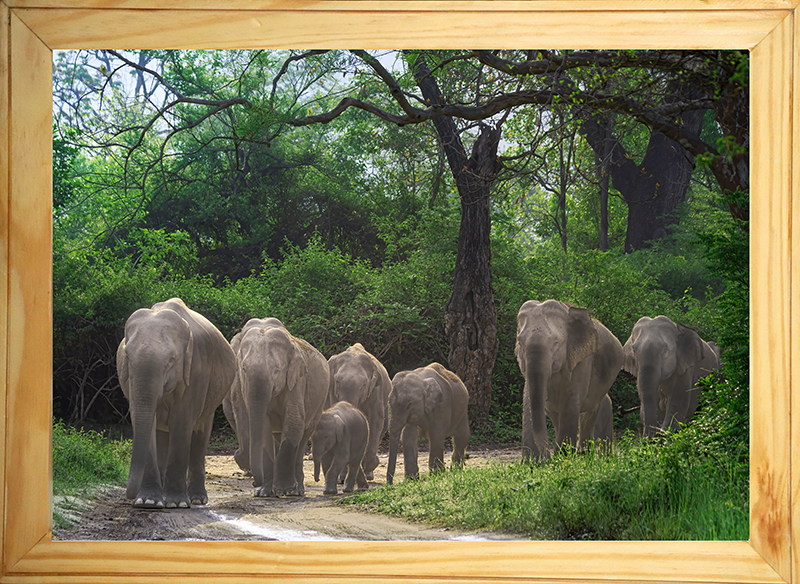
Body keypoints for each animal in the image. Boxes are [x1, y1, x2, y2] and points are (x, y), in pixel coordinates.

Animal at [116, 298, 236, 509]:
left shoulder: (196, 371)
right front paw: (147, 502)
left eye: (171, 361)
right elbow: (148, 424)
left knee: (200, 434)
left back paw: (197, 499)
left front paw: (176, 503)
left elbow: (182, 423)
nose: (129, 496)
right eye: (128, 358)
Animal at [223, 318, 329, 497]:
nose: (254, 483)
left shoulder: (297, 382)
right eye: (243, 369)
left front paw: (284, 490)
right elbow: (264, 428)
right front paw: (264, 493)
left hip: (320, 402)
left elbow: (294, 422)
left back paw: (297, 490)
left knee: (303, 436)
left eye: (277, 371)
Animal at [327, 343, 391, 481]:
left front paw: (371, 467)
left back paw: (368, 473)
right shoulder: (332, 392)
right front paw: (342, 477)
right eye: (337, 382)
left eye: (364, 384)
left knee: (383, 426)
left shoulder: (375, 391)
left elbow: (375, 422)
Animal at [515, 299, 624, 461]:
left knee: (589, 412)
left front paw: (562, 459)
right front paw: (533, 463)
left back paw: (585, 456)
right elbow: (530, 399)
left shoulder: (582, 360)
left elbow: (571, 402)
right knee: (555, 413)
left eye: (555, 343)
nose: (547, 457)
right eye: (520, 344)